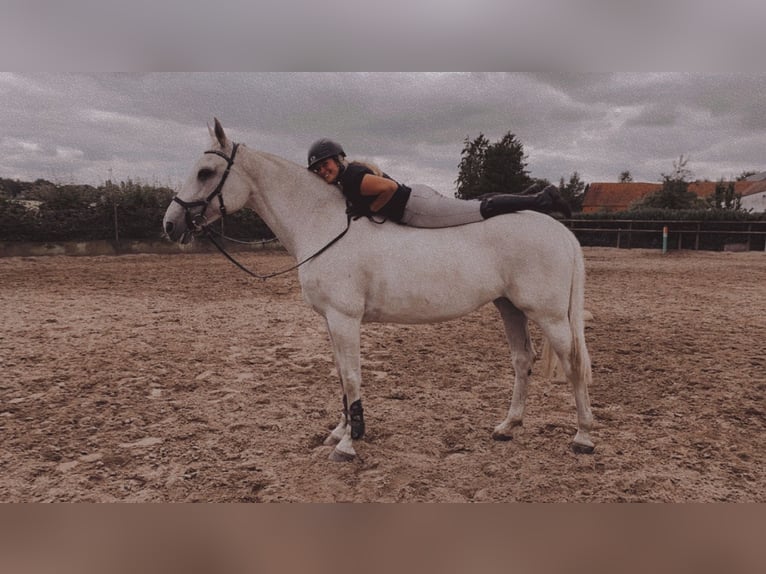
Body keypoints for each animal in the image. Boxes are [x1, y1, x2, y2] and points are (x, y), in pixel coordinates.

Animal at [165, 121, 596, 464]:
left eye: (205, 172)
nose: (171, 225)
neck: (323, 224)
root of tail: (560, 231)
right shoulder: (331, 322)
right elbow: (341, 377)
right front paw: (340, 432)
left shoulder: (344, 318)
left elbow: (352, 376)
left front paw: (348, 445)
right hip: (510, 307)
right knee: (522, 360)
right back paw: (508, 425)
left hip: (550, 316)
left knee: (574, 365)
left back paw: (583, 436)